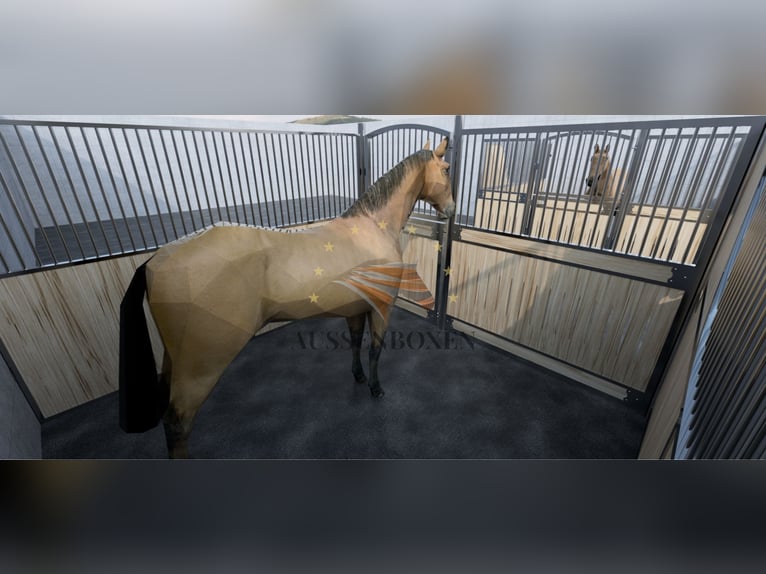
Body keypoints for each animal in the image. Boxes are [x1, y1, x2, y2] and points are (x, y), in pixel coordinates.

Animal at [119, 138, 455, 458]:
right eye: (447, 168)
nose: (451, 210)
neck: (371, 229)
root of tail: (155, 260)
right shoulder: (381, 308)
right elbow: (375, 349)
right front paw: (376, 389)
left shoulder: (354, 309)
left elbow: (356, 343)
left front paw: (358, 377)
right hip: (201, 369)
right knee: (178, 424)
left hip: (175, 361)